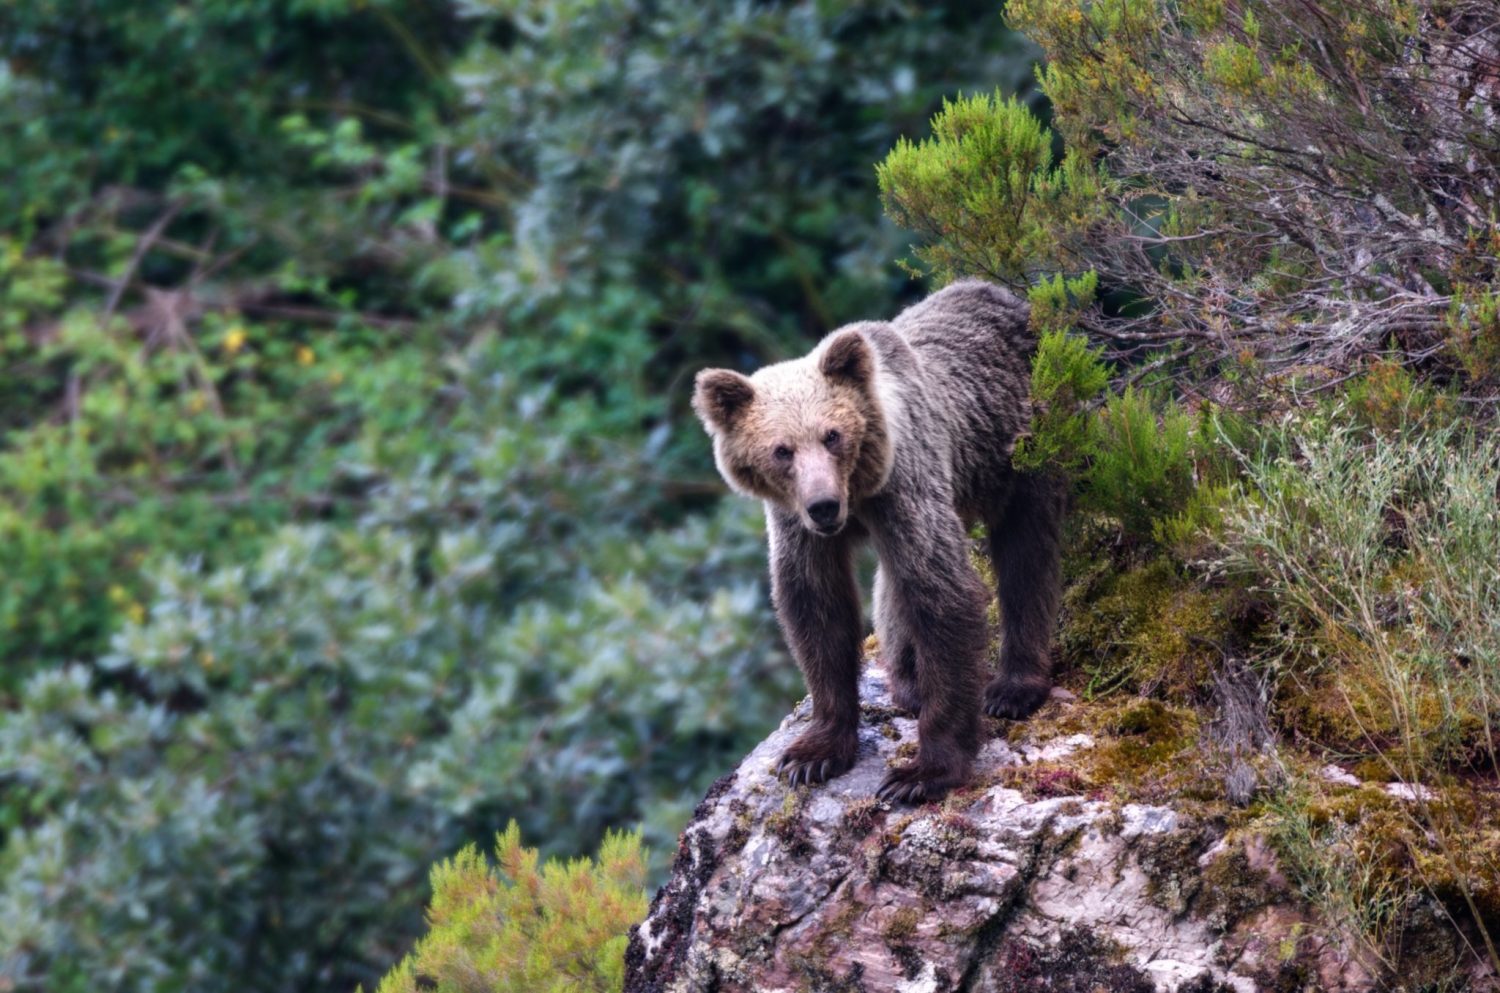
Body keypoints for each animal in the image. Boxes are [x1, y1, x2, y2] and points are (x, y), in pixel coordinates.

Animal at [691, 279, 1066, 803]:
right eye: (782, 450)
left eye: (832, 435)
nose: (824, 506)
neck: (858, 494)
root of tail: (1007, 296)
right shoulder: (796, 524)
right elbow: (816, 606)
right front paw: (812, 754)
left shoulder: (904, 485)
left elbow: (943, 592)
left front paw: (920, 773)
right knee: (893, 585)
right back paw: (908, 682)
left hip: (1023, 444)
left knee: (1026, 554)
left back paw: (1013, 688)